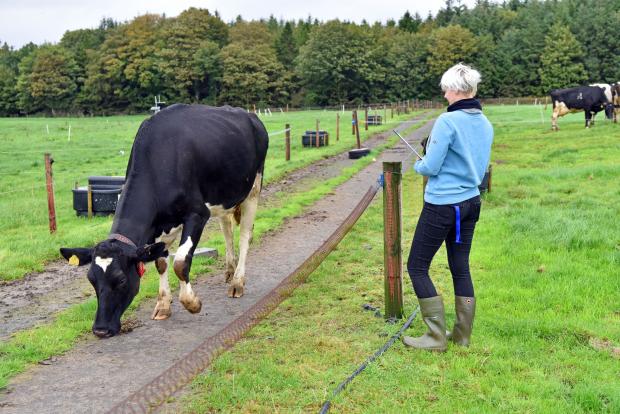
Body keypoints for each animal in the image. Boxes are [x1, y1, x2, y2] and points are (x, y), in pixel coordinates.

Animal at [58, 104, 268, 336]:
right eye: (91, 279)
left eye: (121, 279)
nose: (101, 330)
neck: (159, 161)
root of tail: (247, 114)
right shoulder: (157, 228)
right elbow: (160, 263)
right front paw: (163, 305)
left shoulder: (197, 214)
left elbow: (180, 263)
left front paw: (192, 303)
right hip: (224, 196)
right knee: (227, 230)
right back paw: (229, 271)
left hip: (254, 188)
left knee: (245, 236)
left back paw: (237, 283)